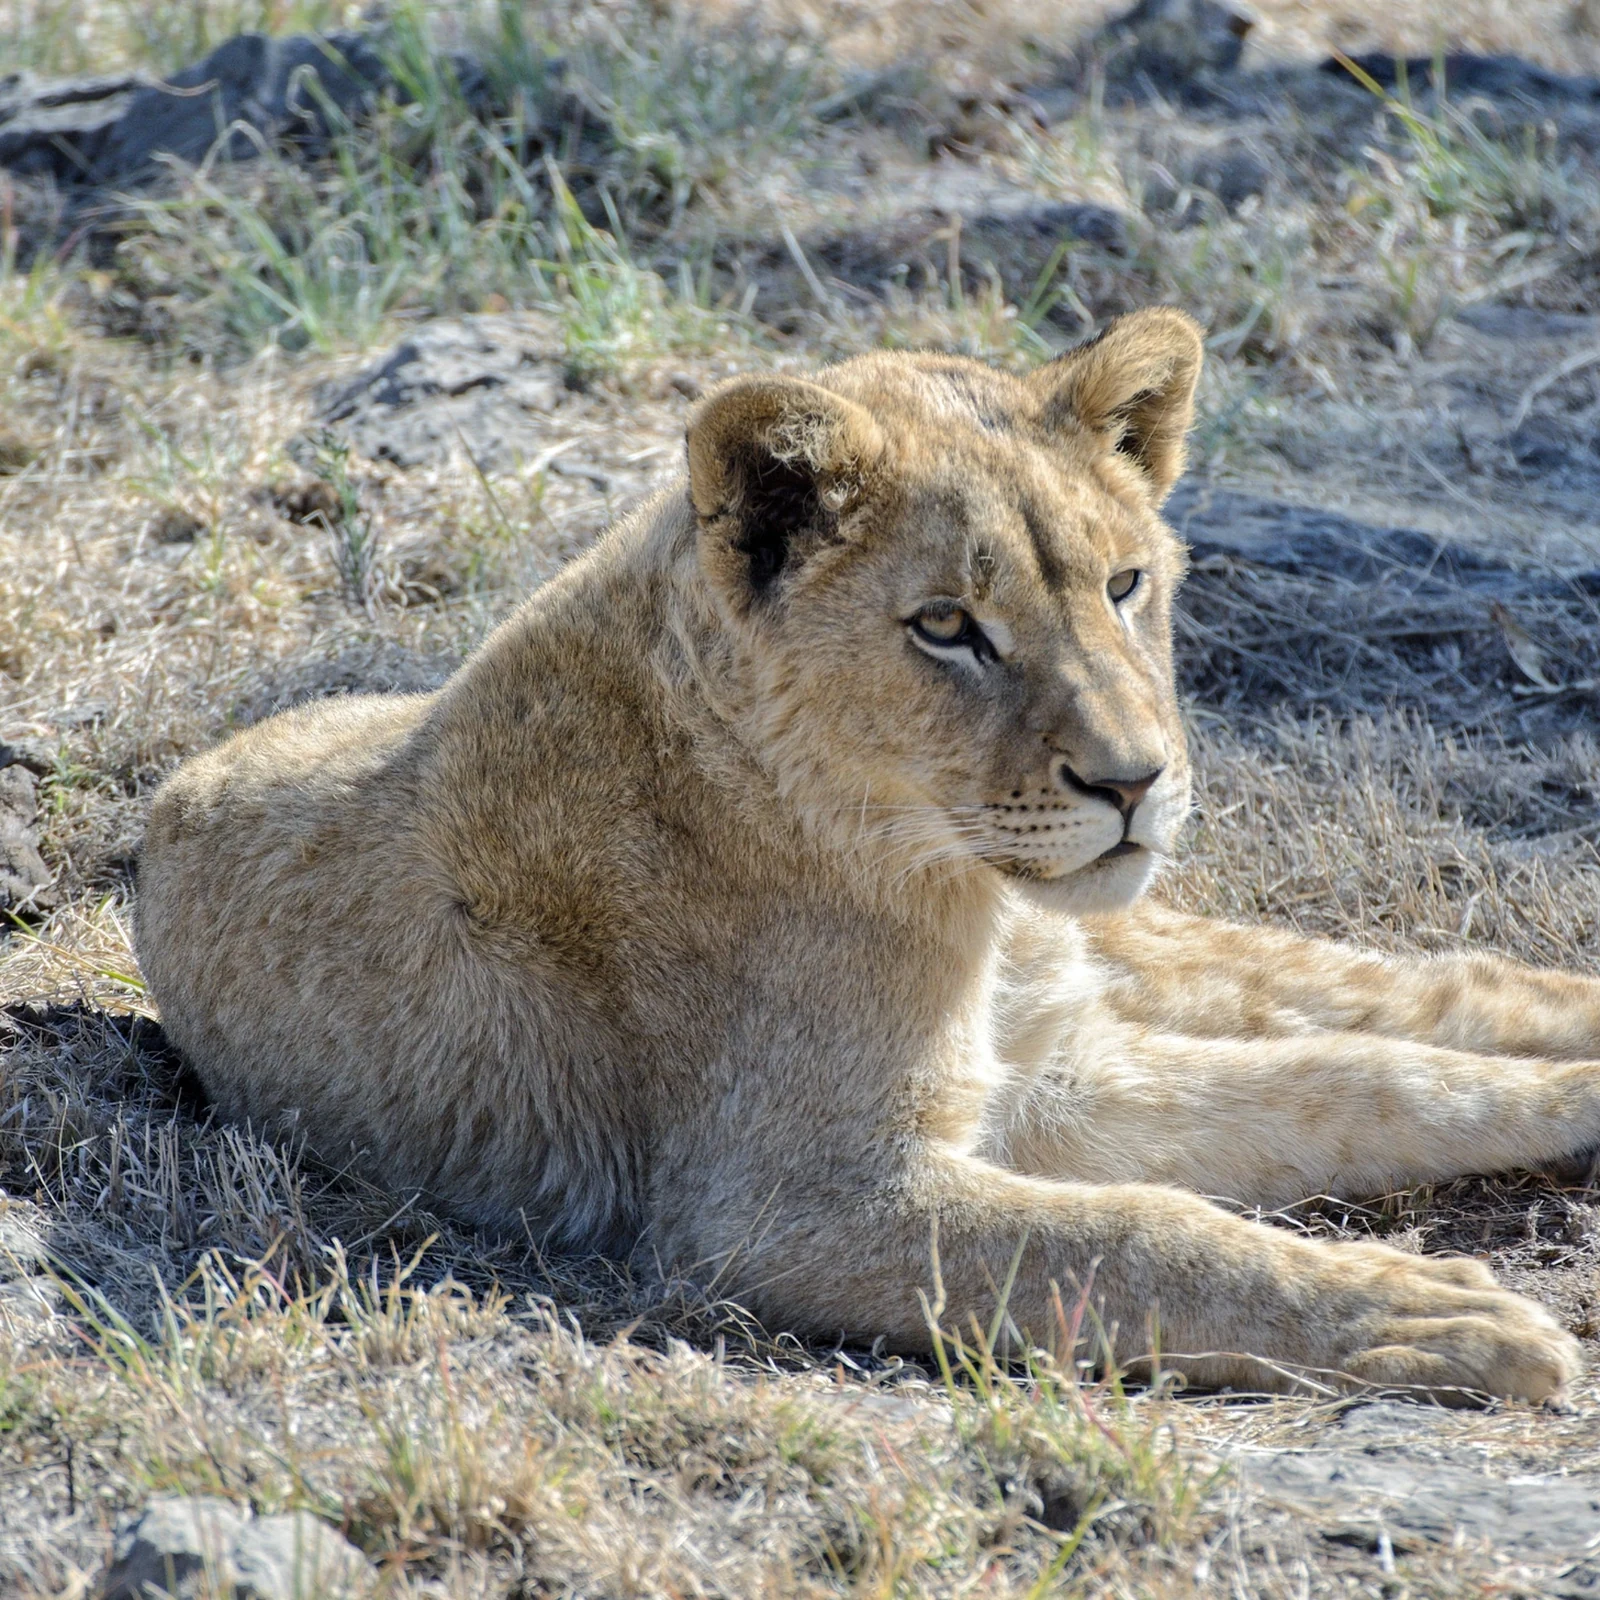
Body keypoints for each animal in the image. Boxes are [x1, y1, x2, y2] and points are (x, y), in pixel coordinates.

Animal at [136, 308, 1600, 1402]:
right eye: (947, 627)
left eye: (1124, 585)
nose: (1133, 781)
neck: (958, 894)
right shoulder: (794, 1201)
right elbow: (1146, 1236)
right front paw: (1425, 1315)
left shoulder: (1045, 1076)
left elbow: (1376, 1084)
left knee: (1433, 992)